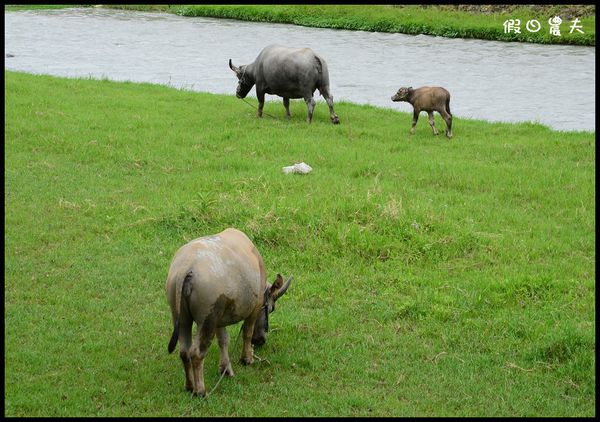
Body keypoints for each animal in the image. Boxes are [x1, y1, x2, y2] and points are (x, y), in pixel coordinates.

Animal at [165, 227, 292, 396]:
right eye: (270, 309)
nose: (261, 340)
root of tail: (186, 267)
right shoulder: (255, 307)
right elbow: (247, 333)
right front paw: (247, 359)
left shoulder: (220, 319)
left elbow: (223, 340)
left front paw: (225, 369)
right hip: (207, 320)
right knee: (197, 353)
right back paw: (201, 391)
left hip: (181, 316)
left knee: (184, 351)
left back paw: (190, 386)